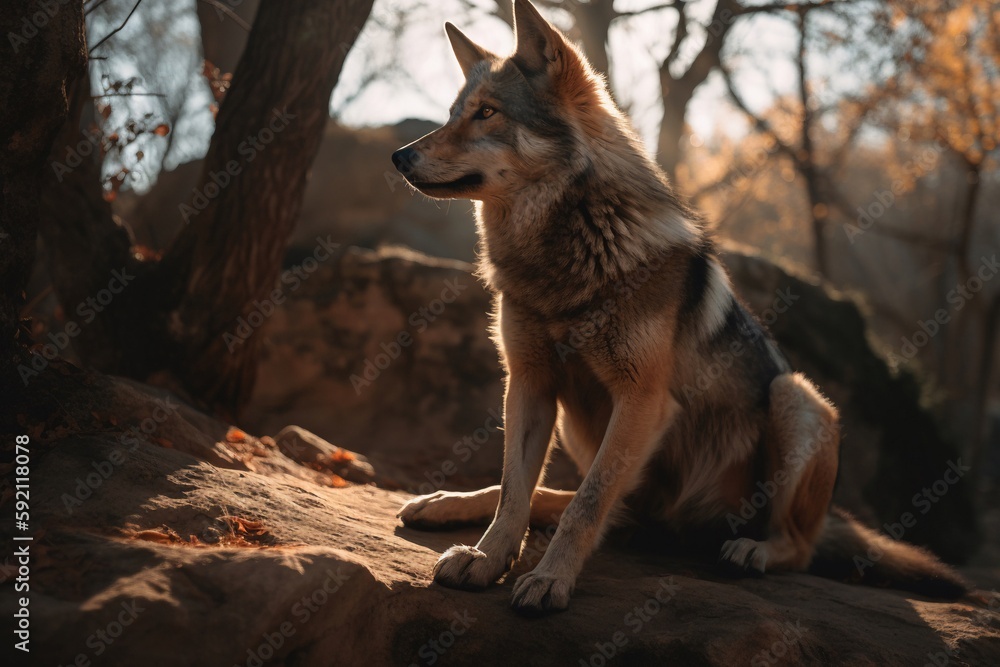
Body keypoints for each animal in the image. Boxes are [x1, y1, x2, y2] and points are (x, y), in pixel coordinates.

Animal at [391, 0, 968, 614]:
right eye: (453, 114)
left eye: (488, 113)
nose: (398, 156)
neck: (568, 254)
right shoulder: (528, 382)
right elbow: (515, 492)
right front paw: (486, 559)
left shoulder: (642, 399)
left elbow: (586, 504)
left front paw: (550, 580)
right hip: (584, 429)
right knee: (574, 500)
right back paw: (442, 503)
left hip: (795, 398)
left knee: (796, 546)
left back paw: (752, 551)